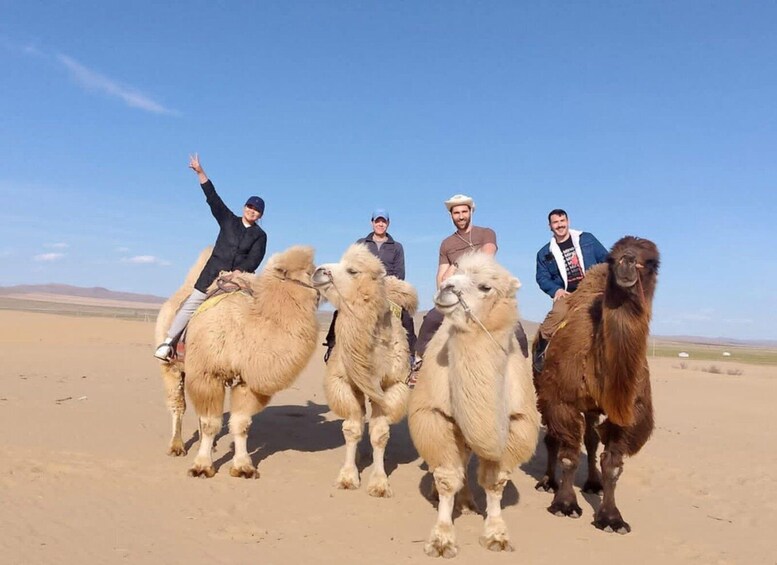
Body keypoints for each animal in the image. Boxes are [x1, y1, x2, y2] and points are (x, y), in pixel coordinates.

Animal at [156, 246, 321, 478]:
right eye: (309, 271)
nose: (326, 273)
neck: (245, 327)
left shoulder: (246, 381)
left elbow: (241, 423)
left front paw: (243, 467)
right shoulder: (208, 374)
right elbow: (210, 423)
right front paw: (202, 466)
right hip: (171, 366)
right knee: (178, 404)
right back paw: (177, 447)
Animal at [311, 244, 417, 497]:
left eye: (352, 270)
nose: (318, 271)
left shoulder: (392, 386)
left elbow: (379, 434)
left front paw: (379, 483)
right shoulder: (344, 382)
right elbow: (352, 429)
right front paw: (348, 477)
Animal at [407, 252, 540, 557]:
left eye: (485, 287)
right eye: (452, 272)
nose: (446, 288)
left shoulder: (516, 423)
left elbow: (495, 481)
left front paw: (497, 535)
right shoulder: (435, 415)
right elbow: (447, 477)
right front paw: (441, 539)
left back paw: (468, 503)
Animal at [532, 235, 660, 534]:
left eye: (652, 262)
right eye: (612, 258)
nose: (627, 262)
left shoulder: (628, 413)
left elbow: (612, 465)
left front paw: (611, 517)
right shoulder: (562, 400)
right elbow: (569, 456)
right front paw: (565, 504)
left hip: (590, 407)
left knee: (590, 440)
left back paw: (592, 483)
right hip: (544, 392)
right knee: (552, 439)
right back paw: (548, 482)